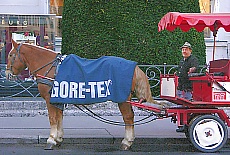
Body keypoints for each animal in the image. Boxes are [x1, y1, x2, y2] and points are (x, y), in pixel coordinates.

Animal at [4, 39, 164, 151]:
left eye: (11, 55)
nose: (7, 74)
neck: (52, 66)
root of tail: (134, 66)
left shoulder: (50, 99)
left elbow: (53, 119)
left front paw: (51, 139)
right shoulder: (58, 97)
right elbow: (59, 118)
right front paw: (58, 138)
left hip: (123, 98)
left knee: (128, 117)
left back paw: (127, 141)